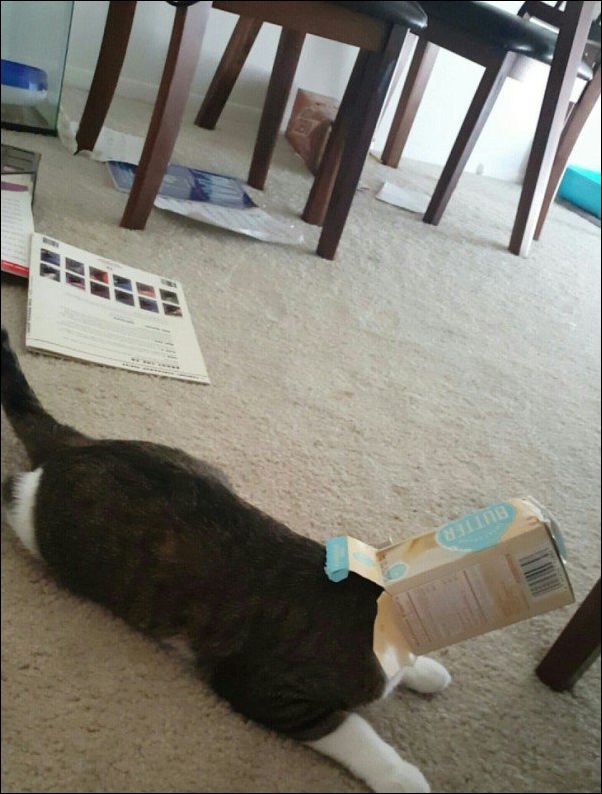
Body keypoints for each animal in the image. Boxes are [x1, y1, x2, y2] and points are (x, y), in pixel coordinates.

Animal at [1, 328, 451, 793]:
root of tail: (77, 445)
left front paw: (425, 670)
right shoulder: (263, 689)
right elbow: (352, 731)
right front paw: (399, 774)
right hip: (37, 524)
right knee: (11, 487)